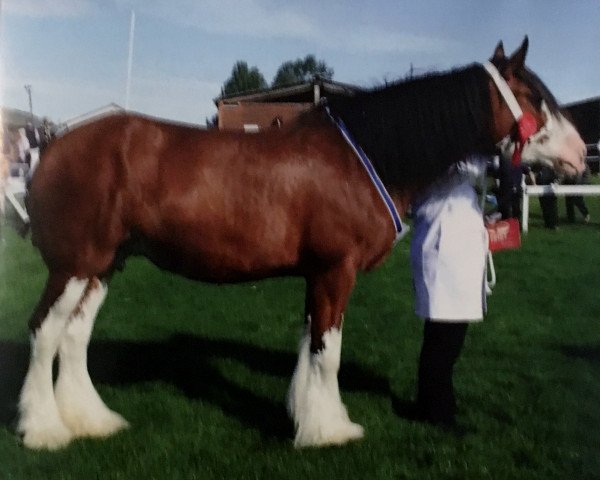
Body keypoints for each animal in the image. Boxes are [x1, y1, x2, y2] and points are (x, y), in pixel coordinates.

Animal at [18, 38, 584, 450]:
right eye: (534, 98)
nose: (581, 154)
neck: (360, 157)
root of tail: (53, 146)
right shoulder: (336, 269)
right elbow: (327, 351)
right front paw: (332, 431)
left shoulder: (317, 273)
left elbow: (310, 342)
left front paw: (305, 415)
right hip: (74, 265)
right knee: (44, 331)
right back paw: (43, 429)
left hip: (104, 265)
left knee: (74, 336)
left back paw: (91, 420)